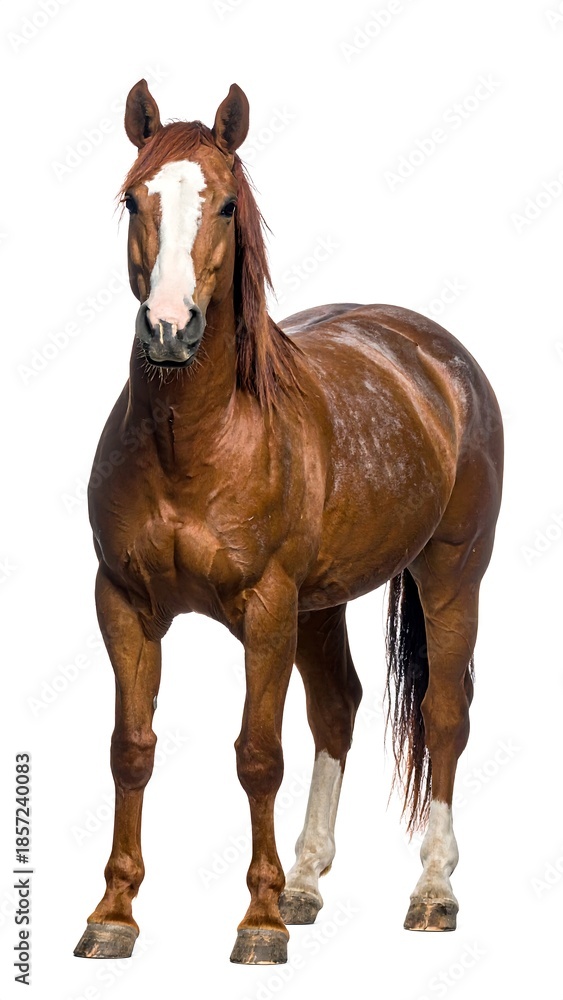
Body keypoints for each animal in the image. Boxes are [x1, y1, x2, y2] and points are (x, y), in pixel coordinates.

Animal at [73, 79, 503, 966]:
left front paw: (258, 923)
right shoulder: (123, 604)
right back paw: (306, 879)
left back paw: (432, 891)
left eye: (227, 204)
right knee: (337, 708)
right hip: (321, 603)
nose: (169, 329)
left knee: (444, 715)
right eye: (132, 198)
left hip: (451, 572)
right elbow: (131, 750)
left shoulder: (266, 610)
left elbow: (257, 756)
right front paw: (113, 914)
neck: (196, 440)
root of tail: (435, 357)